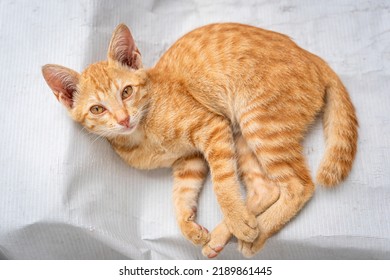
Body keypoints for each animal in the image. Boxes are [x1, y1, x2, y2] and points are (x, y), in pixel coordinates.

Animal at [42, 22, 356, 258]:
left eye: (127, 92)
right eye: (97, 109)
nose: (122, 119)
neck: (143, 134)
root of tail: (313, 57)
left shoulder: (213, 127)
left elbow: (223, 184)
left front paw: (236, 216)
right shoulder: (189, 159)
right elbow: (181, 195)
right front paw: (190, 227)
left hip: (257, 121)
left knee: (299, 186)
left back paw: (253, 232)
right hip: (244, 135)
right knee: (265, 189)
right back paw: (224, 234)